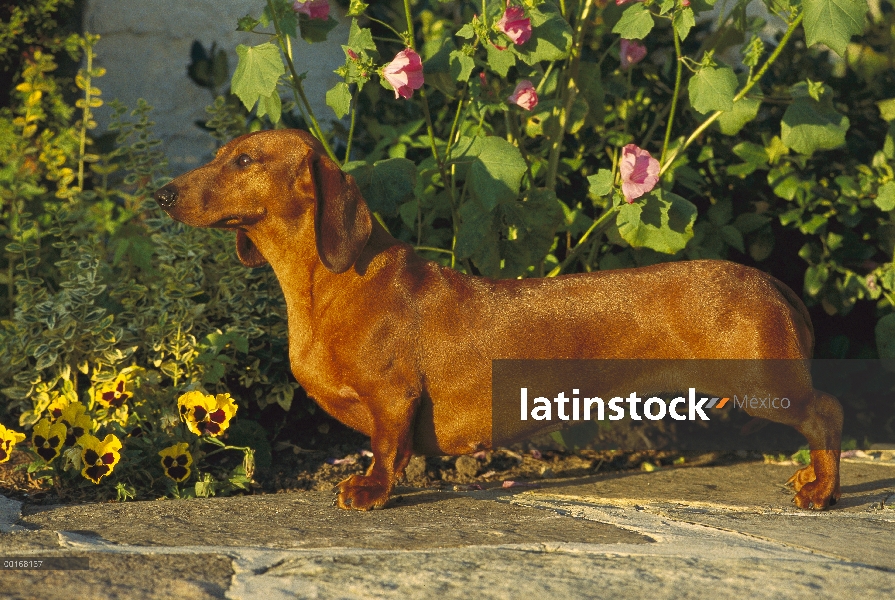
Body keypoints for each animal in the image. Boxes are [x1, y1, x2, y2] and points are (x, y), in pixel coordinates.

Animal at [150, 130, 844, 510]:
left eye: (245, 161)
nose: (161, 193)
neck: (330, 285)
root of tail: (772, 281)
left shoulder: (393, 397)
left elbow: (387, 449)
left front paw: (370, 490)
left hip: (762, 385)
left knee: (828, 413)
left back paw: (822, 490)